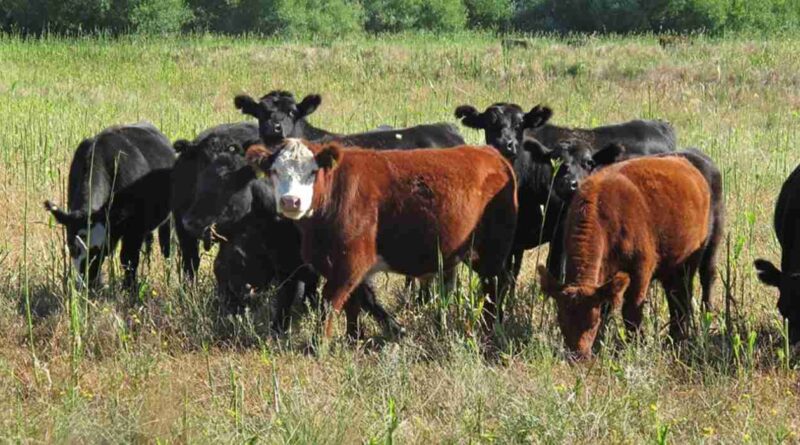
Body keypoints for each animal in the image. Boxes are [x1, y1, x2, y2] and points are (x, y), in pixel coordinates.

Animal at [44, 121, 175, 288]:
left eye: (101, 250)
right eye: (72, 247)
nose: (88, 282)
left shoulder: (135, 227)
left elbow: (128, 259)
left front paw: (130, 288)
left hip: (168, 219)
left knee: (166, 245)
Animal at [245, 137, 520, 338]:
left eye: (313, 171)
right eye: (274, 171)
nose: (290, 201)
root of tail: (491, 153)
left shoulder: (350, 261)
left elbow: (331, 302)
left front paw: (319, 344)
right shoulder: (344, 265)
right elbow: (354, 302)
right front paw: (353, 338)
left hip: (492, 250)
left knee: (496, 285)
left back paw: (489, 327)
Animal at [536, 155, 712, 358]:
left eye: (592, 322)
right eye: (561, 320)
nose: (578, 356)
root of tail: (685, 163)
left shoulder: (640, 272)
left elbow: (631, 311)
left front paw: (636, 344)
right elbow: (608, 306)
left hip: (689, 264)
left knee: (682, 301)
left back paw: (677, 340)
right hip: (671, 270)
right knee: (675, 298)